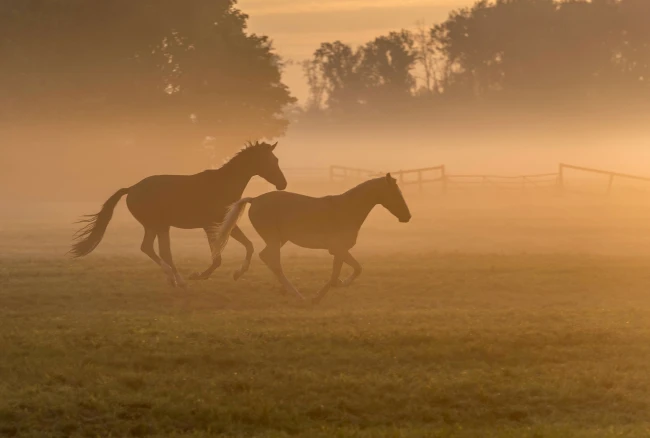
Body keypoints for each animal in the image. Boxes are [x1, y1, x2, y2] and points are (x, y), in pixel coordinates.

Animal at [68, 139, 286, 288]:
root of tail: (131, 189)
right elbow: (217, 258)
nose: (283, 184)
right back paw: (178, 279)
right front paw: (200, 275)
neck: (222, 184)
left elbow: (248, 246)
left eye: (276, 159)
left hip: (159, 226)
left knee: (153, 249)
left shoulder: (226, 224)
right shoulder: (210, 225)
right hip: (157, 225)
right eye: (270, 160)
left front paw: (237, 274)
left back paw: (173, 279)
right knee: (155, 249)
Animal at [209, 173, 410, 302]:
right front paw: (328, 291)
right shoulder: (338, 249)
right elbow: (353, 270)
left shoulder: (339, 251)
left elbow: (339, 272)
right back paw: (296, 294)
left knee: (265, 256)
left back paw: (242, 275)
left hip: (279, 239)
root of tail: (255, 200)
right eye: (395, 193)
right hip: (274, 239)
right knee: (274, 262)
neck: (346, 209)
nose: (407, 217)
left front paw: (323, 293)